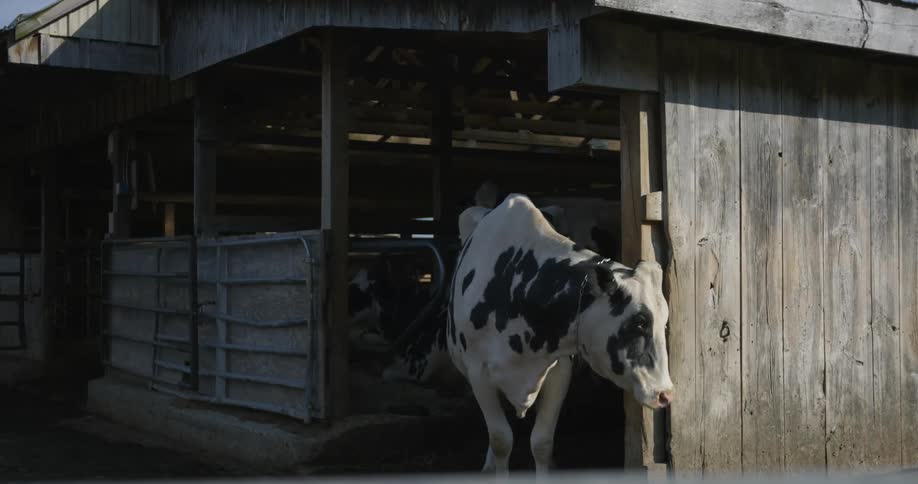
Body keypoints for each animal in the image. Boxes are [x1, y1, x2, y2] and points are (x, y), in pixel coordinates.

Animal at [444, 193, 673, 476]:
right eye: (639, 322)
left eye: (664, 323)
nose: (666, 394)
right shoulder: (479, 374)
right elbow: (500, 440)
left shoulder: (559, 371)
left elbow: (541, 442)